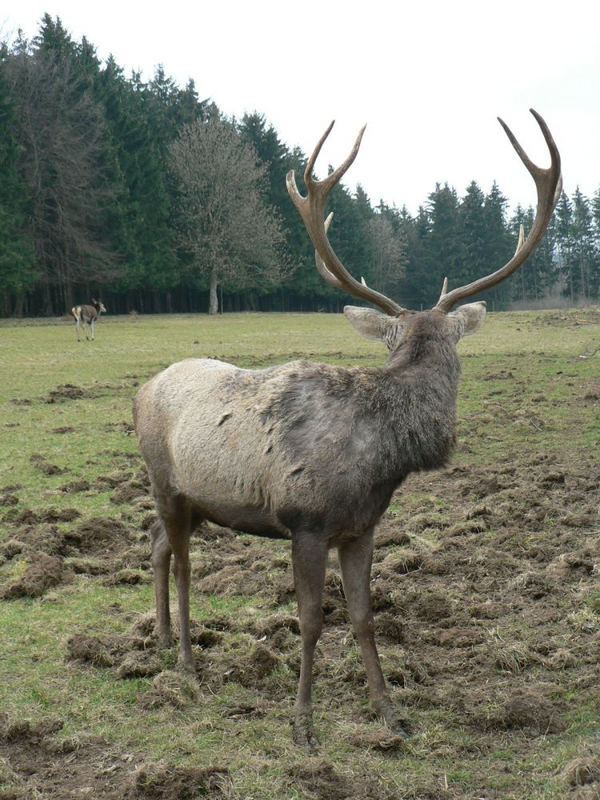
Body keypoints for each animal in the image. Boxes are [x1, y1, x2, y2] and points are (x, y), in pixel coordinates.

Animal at [134, 109, 560, 748]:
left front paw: (391, 714)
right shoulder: (305, 520)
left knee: (159, 545)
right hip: (165, 481)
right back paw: (186, 661)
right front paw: (303, 725)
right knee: (183, 563)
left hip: (197, 501)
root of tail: (139, 391)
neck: (378, 462)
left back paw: (161, 640)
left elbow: (363, 616)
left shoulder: (362, 527)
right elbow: (311, 619)